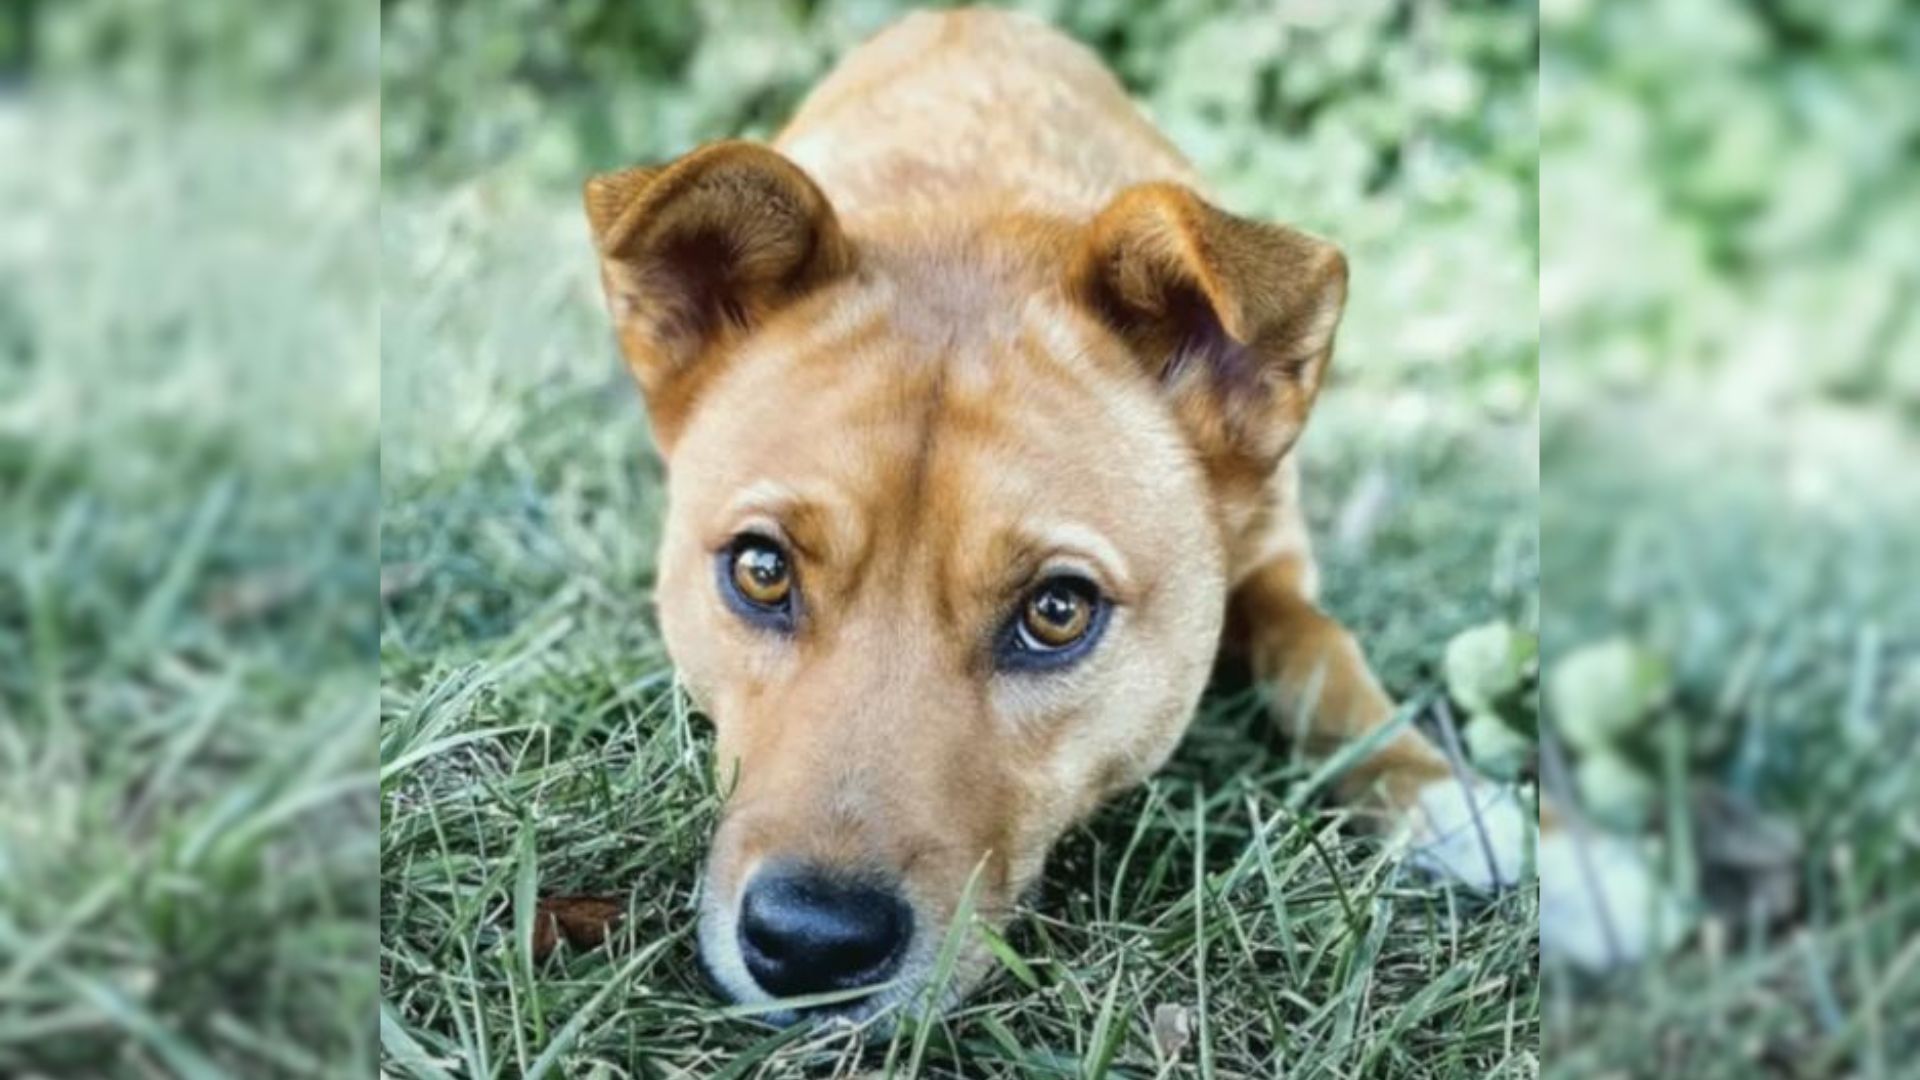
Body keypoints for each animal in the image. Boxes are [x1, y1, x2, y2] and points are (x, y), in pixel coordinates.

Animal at [576, 6, 1658, 1014]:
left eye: (1057, 612)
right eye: (761, 571)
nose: (809, 946)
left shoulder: (1276, 560)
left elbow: (1324, 656)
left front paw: (1477, 817)